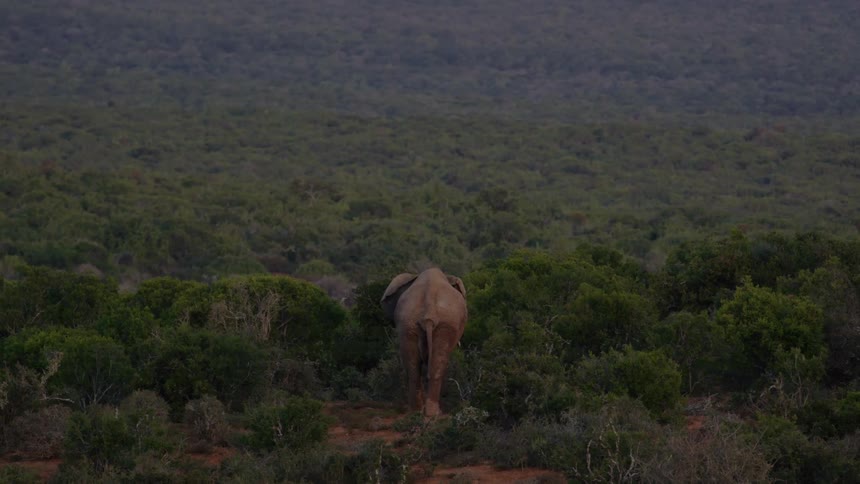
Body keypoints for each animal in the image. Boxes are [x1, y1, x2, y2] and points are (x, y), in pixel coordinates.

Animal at [381, 268, 467, 417]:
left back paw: (418, 412)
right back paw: (432, 414)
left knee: (415, 368)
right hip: (442, 322)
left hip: (411, 323)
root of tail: (429, 310)